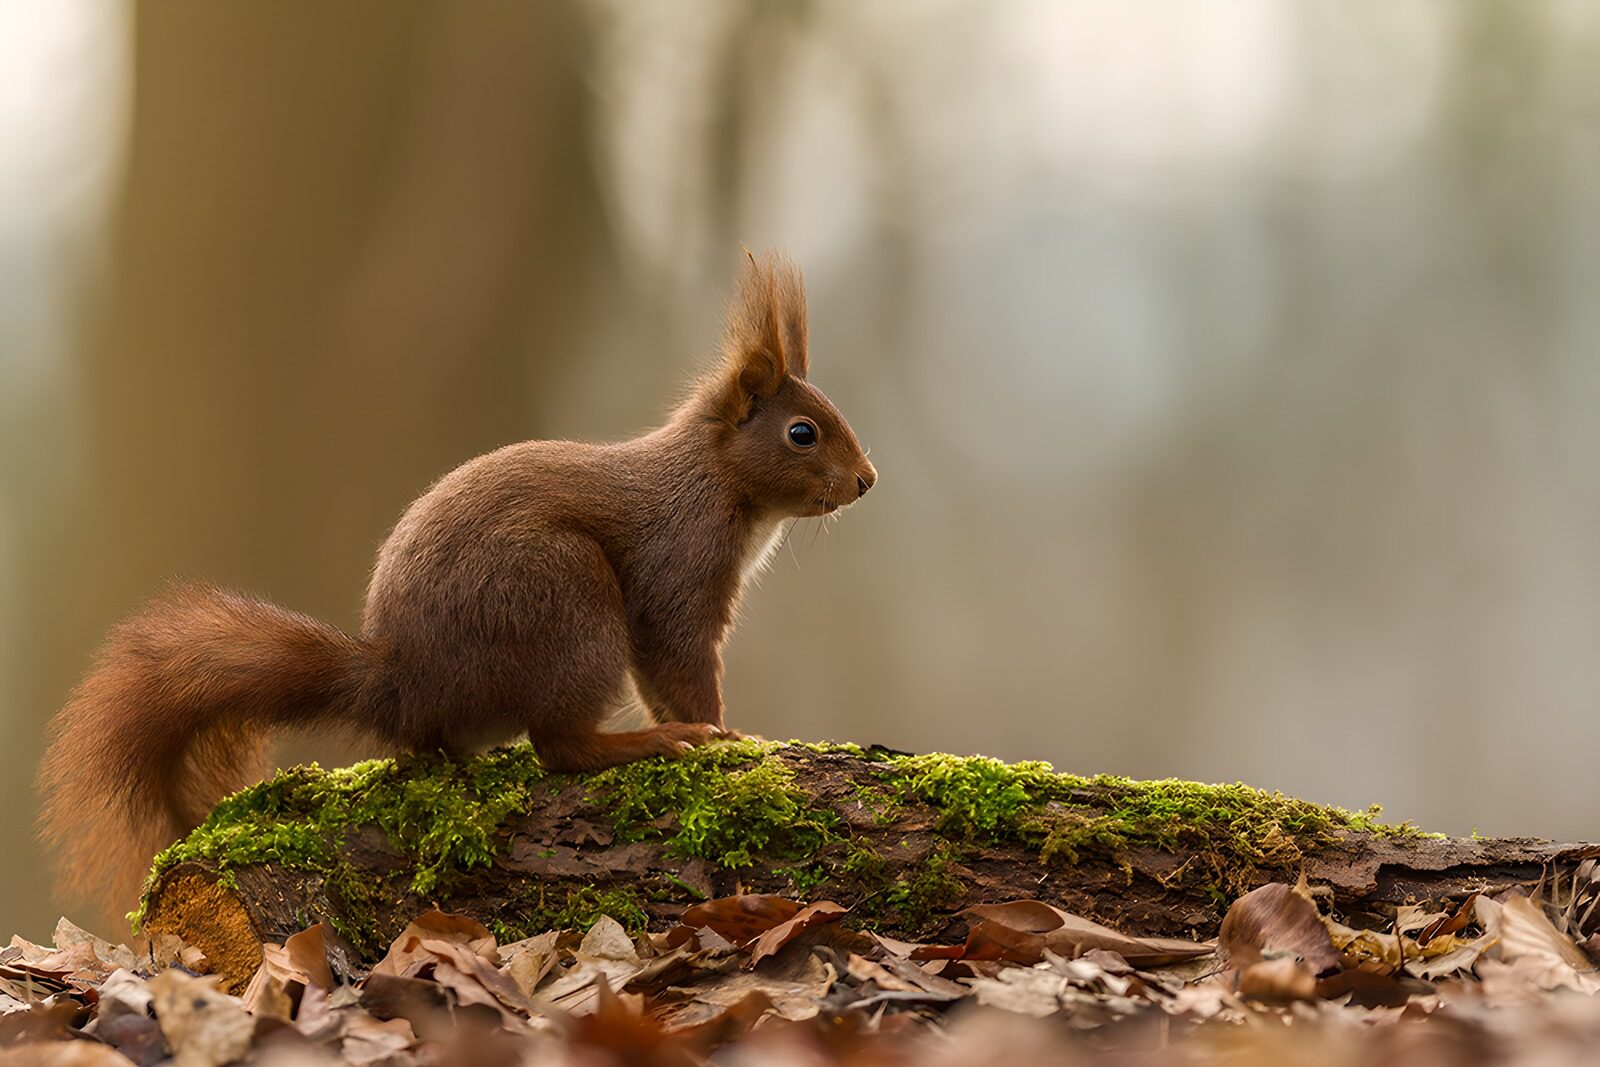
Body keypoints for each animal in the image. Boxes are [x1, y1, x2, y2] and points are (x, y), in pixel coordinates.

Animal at [38, 251, 876, 912]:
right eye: (802, 432)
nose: (868, 480)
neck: (715, 481)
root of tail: (403, 681)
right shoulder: (678, 571)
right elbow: (679, 664)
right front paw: (721, 734)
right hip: (566, 600)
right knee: (559, 746)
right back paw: (648, 743)